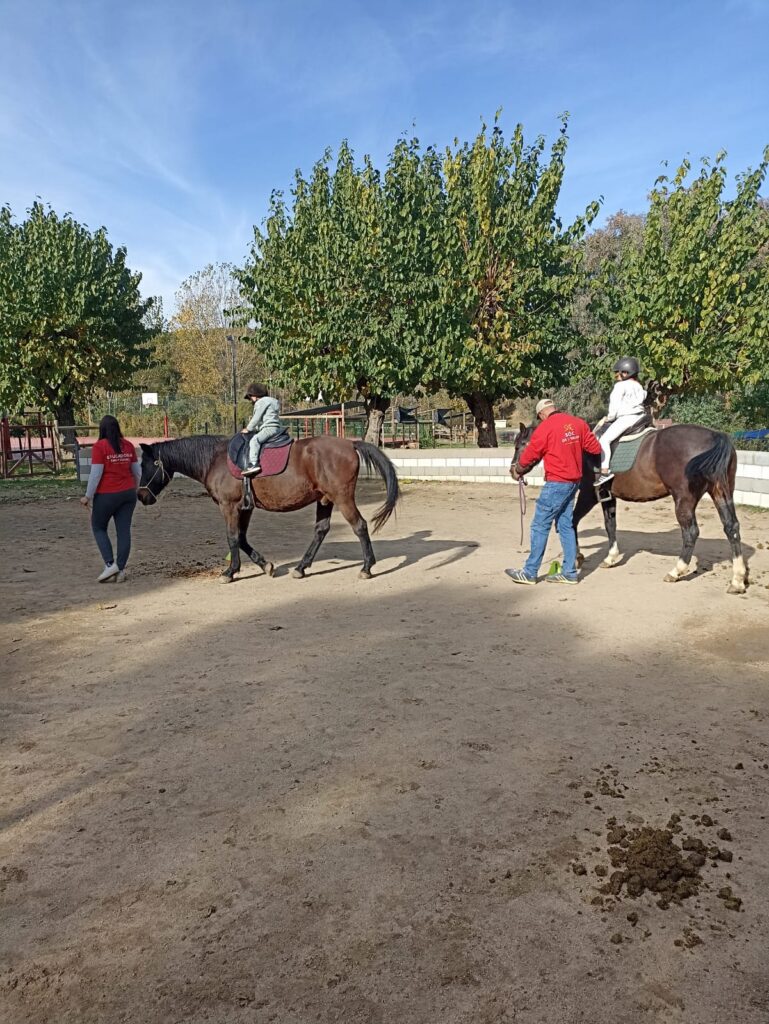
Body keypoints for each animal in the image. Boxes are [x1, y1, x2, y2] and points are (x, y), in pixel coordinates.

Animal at [136, 435, 400, 581]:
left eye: (146, 464)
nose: (141, 495)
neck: (214, 459)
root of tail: (350, 444)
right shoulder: (245, 507)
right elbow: (242, 538)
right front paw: (266, 565)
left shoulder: (229, 506)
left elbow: (232, 537)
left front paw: (230, 572)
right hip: (325, 500)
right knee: (321, 530)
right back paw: (301, 568)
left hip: (342, 498)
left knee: (359, 526)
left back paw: (367, 567)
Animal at [512, 422, 747, 593]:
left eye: (521, 444)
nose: (513, 471)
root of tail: (715, 436)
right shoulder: (608, 497)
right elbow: (610, 525)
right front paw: (610, 557)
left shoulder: (589, 494)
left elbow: (572, 521)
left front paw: (578, 556)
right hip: (721, 492)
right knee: (732, 527)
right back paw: (738, 579)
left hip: (684, 499)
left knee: (691, 532)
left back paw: (676, 571)